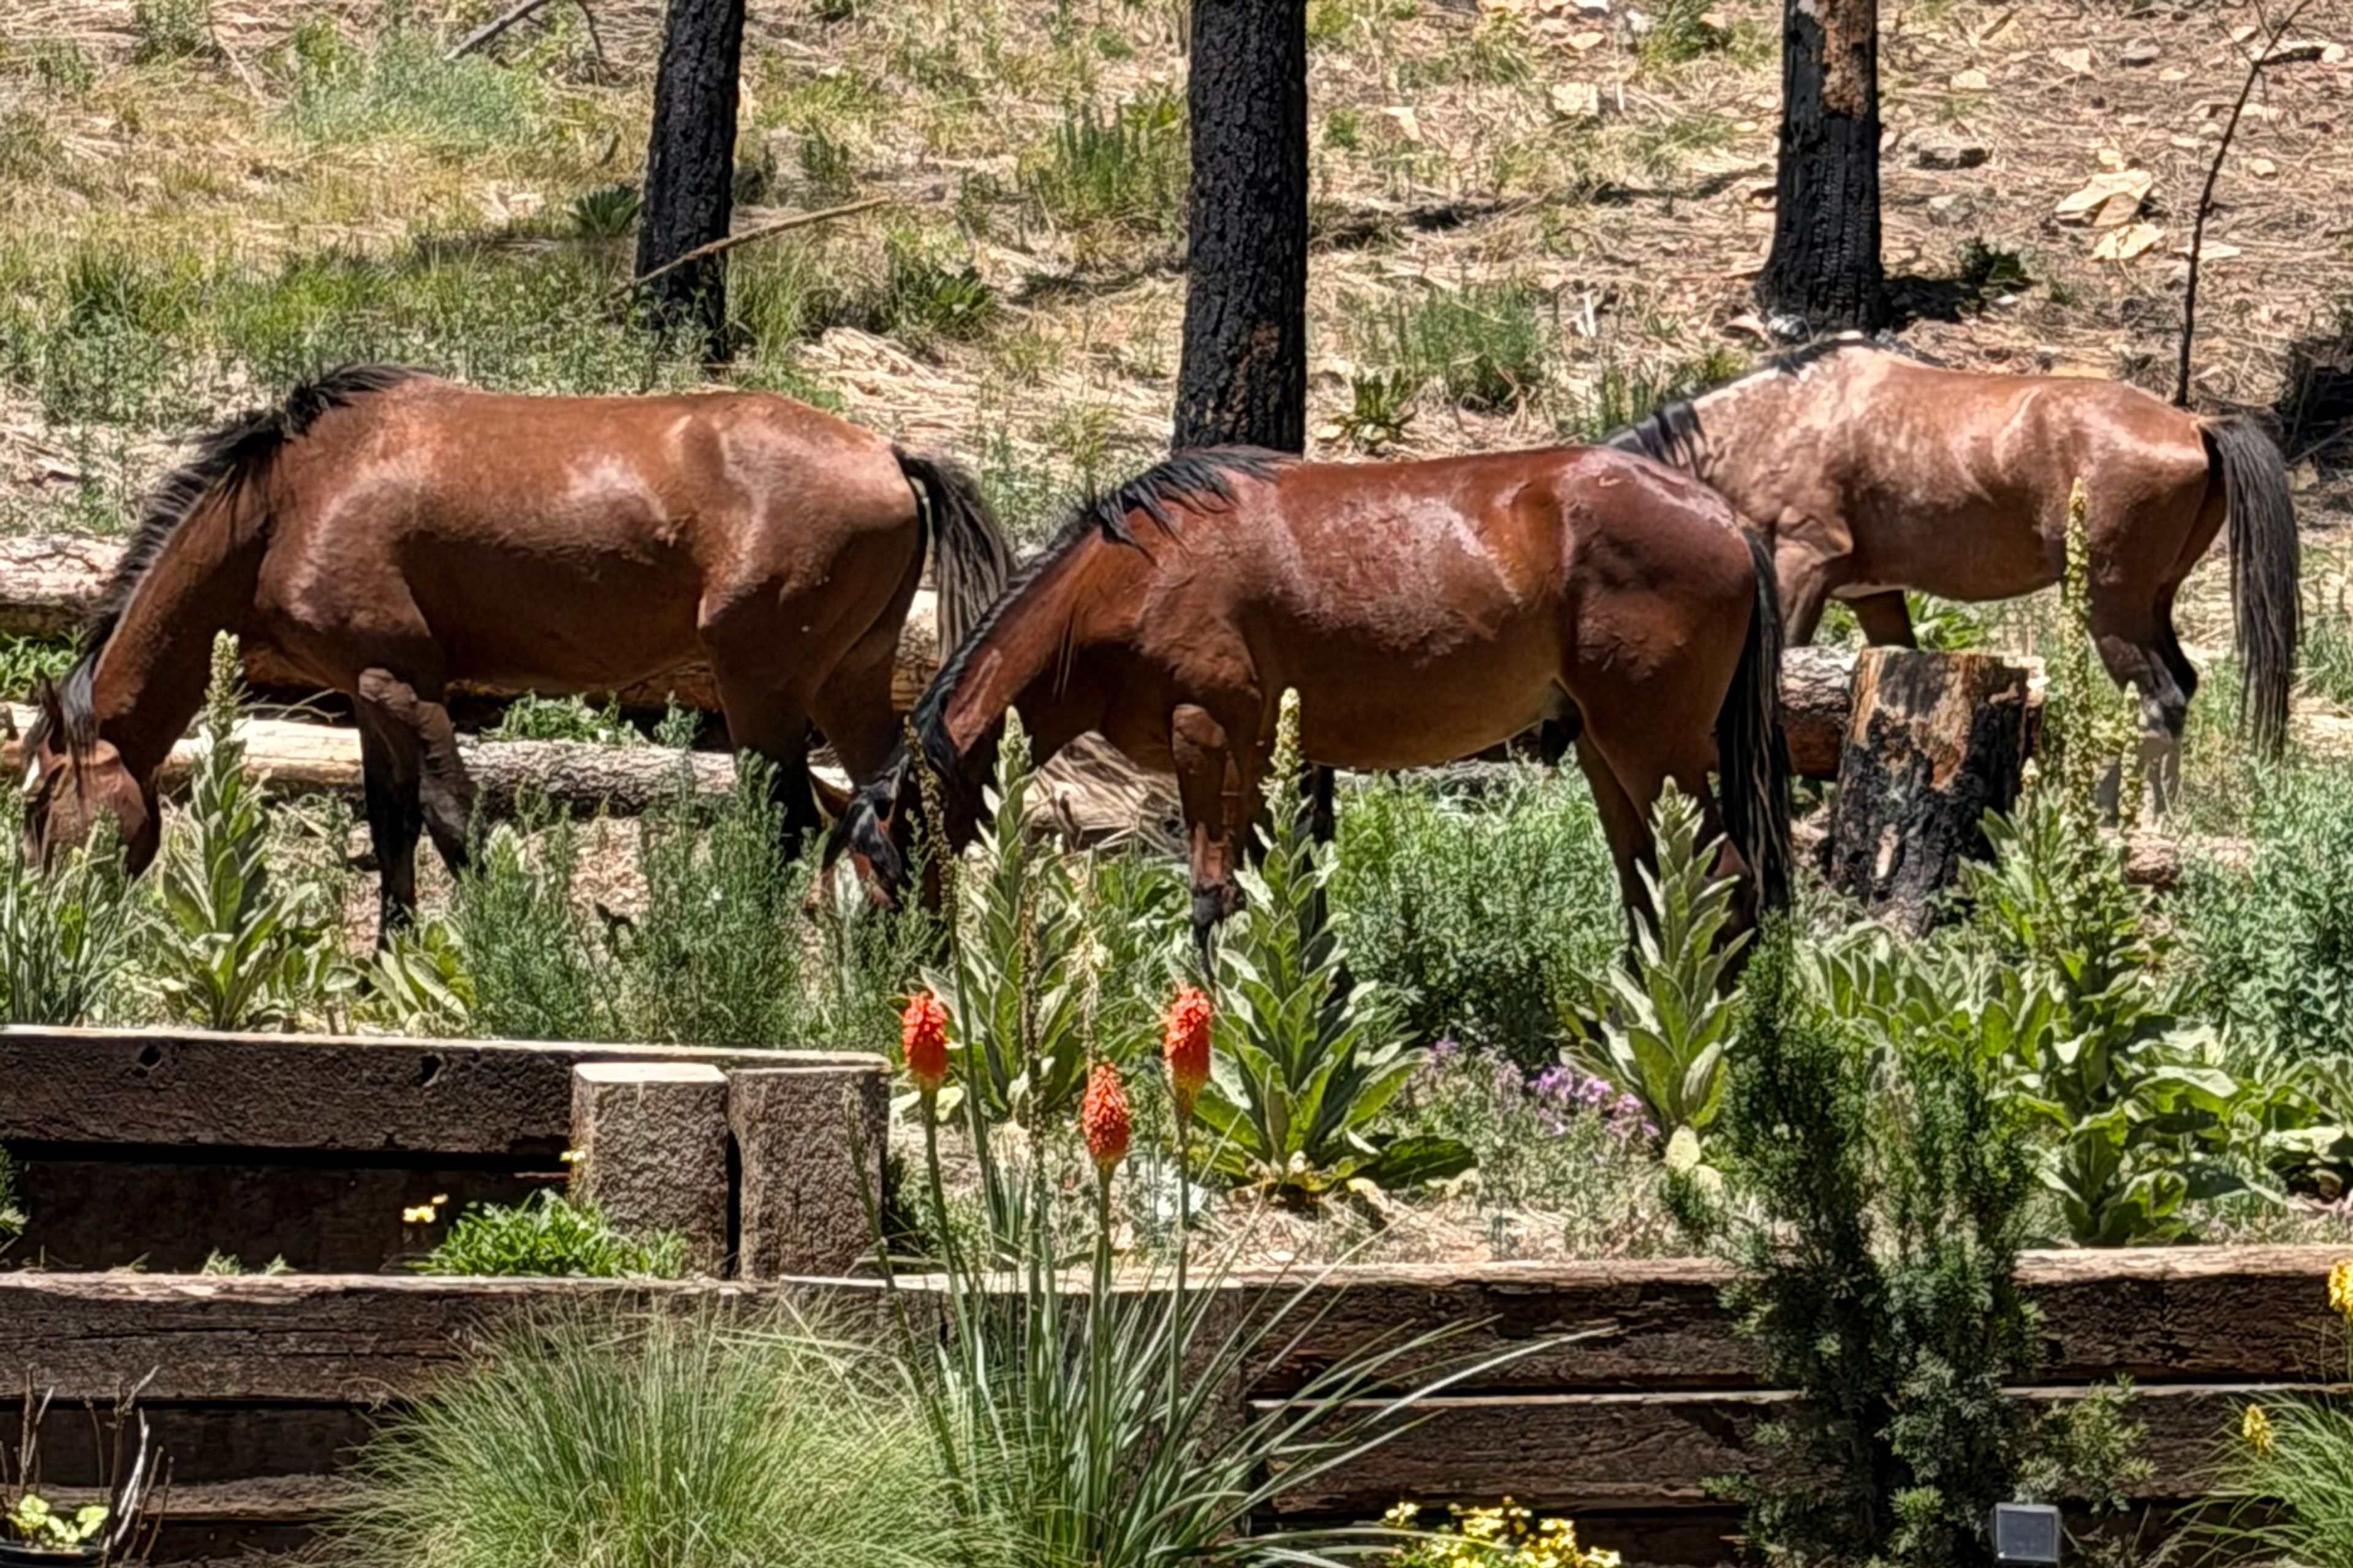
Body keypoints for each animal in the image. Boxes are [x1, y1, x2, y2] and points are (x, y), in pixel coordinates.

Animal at [21, 365, 1011, 940]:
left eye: (34, 803)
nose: (45, 920)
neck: (291, 498)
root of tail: (889, 452)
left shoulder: (403, 684)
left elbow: (451, 817)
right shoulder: (368, 697)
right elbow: (391, 825)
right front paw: (394, 958)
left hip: (761, 686)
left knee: (793, 821)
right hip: (847, 683)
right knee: (899, 813)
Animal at [832, 444, 1792, 955]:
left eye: (878, 882)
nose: (885, 987)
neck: (1130, 576)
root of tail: (1727, 518)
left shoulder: (1205, 736)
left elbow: (1212, 895)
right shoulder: (1257, 757)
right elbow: (1281, 889)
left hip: (1653, 749)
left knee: (1725, 883)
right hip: (1608, 754)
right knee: (1651, 890)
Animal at [1602, 334, 2301, 778]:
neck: (1772, 422)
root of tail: (2196, 425)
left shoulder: (1803, 568)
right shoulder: (1875, 596)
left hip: (2111, 608)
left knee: (2163, 702)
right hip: (2149, 603)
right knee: (2181, 688)